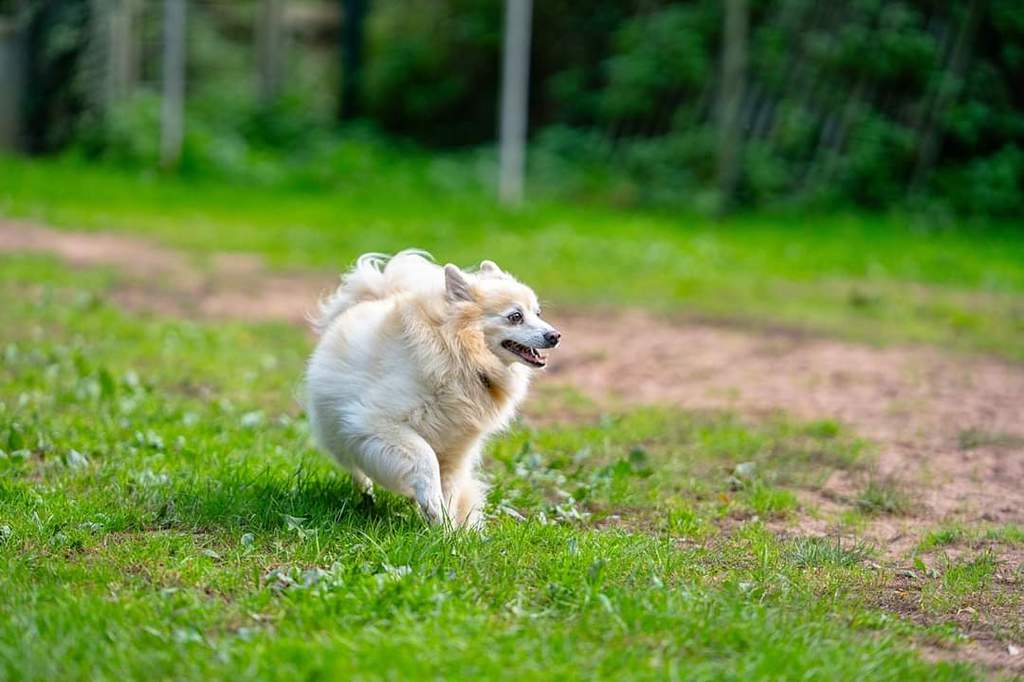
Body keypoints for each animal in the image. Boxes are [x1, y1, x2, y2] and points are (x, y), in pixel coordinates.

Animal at [305, 251, 561, 528]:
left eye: (538, 313)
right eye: (515, 316)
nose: (555, 335)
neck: (458, 355)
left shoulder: (456, 449)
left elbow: (449, 487)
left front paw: (445, 528)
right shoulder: (373, 421)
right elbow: (425, 458)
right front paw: (433, 507)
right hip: (338, 432)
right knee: (354, 467)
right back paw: (367, 495)